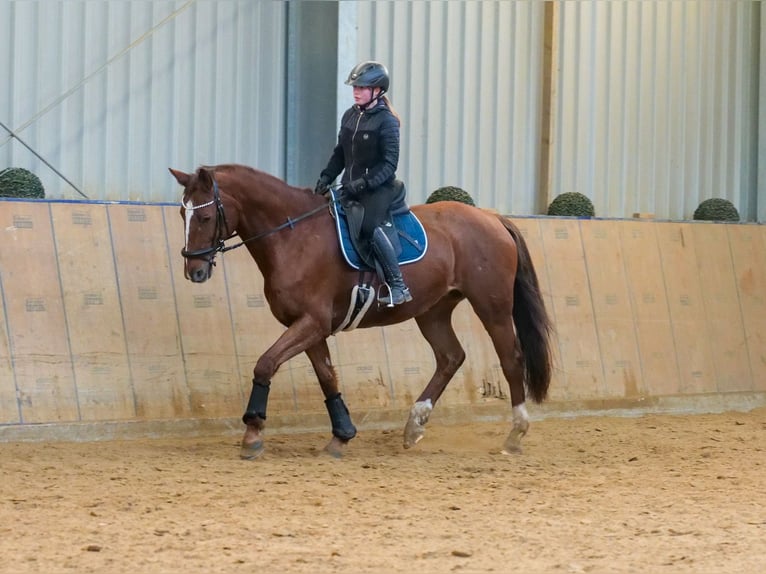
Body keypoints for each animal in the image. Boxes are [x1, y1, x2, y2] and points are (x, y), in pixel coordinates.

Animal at [170, 164, 552, 462]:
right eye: (182, 214)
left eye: (204, 216)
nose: (194, 271)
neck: (294, 237)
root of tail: (492, 217)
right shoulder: (309, 326)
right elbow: (327, 376)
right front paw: (341, 435)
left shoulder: (311, 322)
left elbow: (266, 363)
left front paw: (252, 433)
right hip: (433, 311)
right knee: (450, 357)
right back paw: (414, 426)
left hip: (493, 306)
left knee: (511, 359)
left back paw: (515, 434)